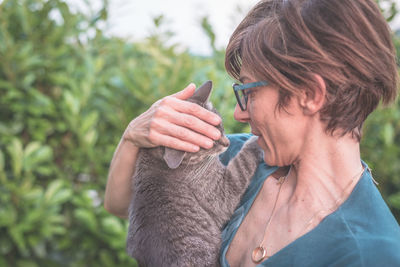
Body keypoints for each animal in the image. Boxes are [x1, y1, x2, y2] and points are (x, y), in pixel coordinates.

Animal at [127, 80, 262, 266]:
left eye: (220, 127)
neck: (157, 158)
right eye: (209, 143)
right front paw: (255, 141)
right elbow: (242, 163)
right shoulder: (221, 193)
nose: (227, 143)